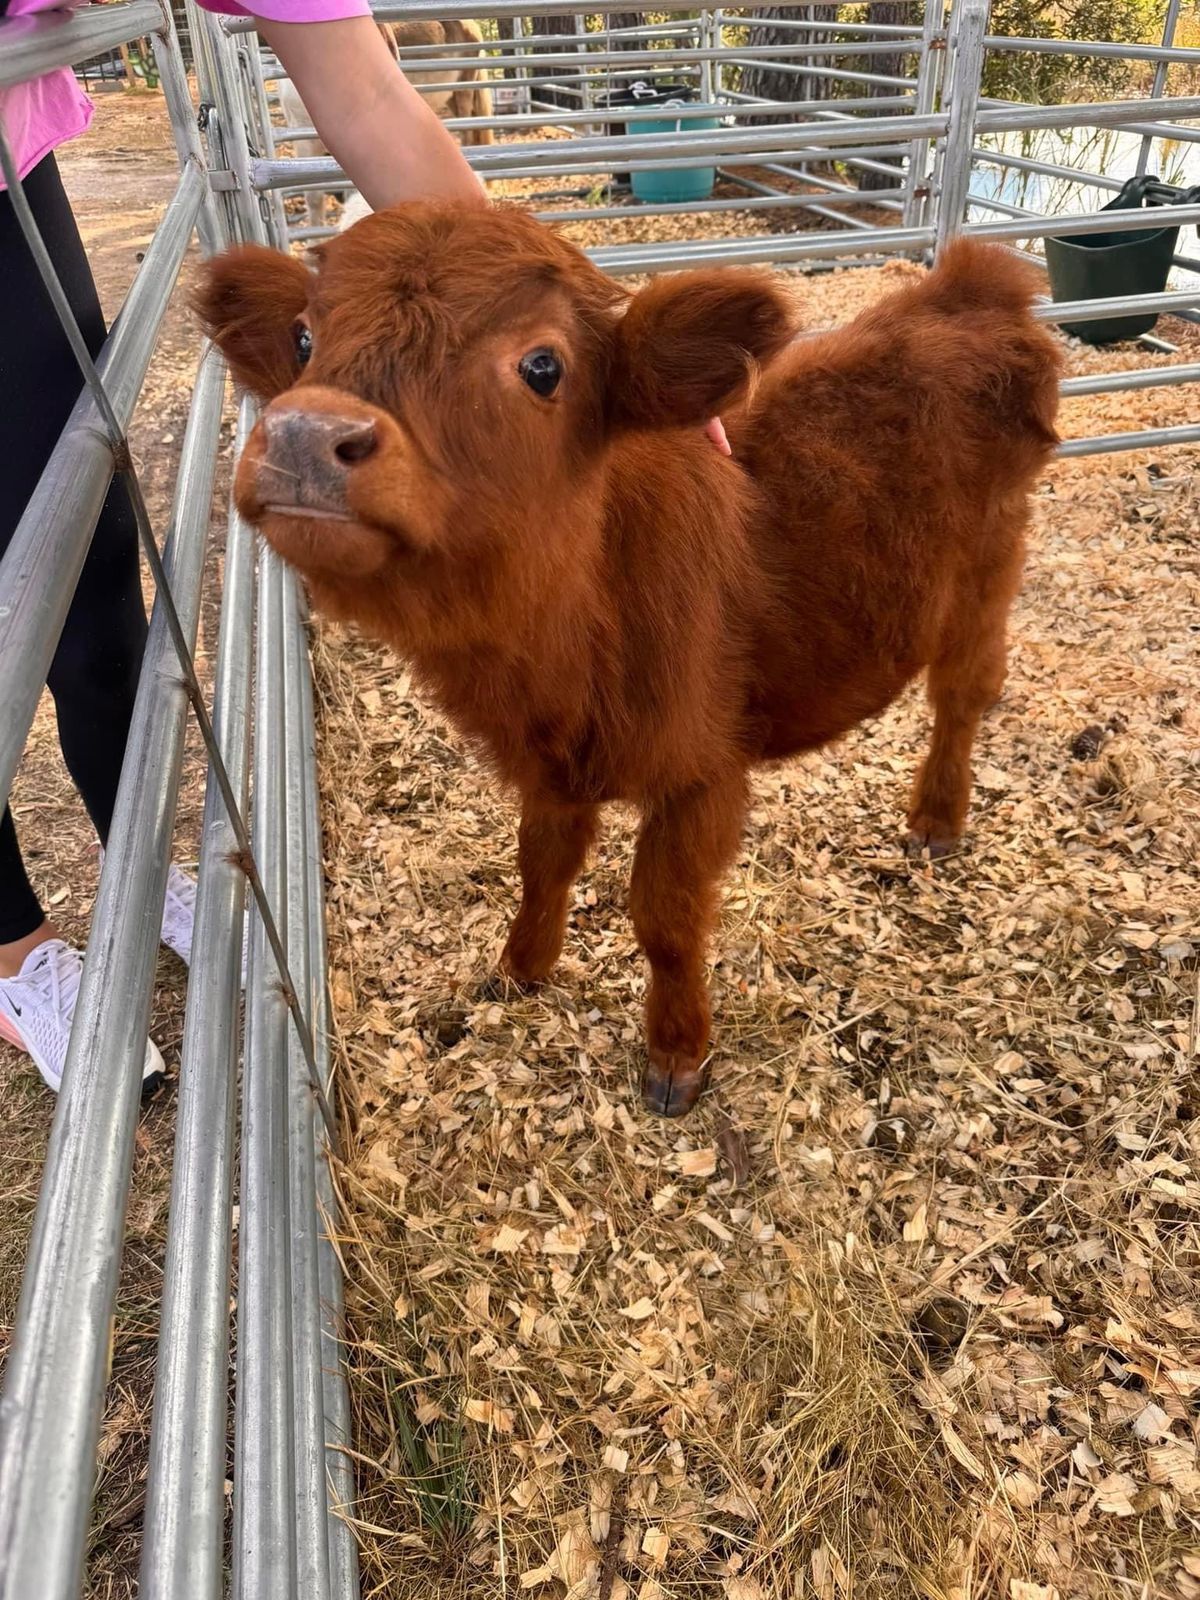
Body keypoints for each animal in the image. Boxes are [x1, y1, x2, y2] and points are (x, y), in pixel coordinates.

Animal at [197, 206, 1062, 1120]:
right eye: (303, 337)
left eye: (544, 366)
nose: (305, 433)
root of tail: (965, 285)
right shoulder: (552, 770)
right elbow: (541, 866)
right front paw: (520, 969)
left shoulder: (699, 774)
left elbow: (666, 919)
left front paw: (676, 1053)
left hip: (986, 576)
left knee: (963, 697)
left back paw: (936, 819)